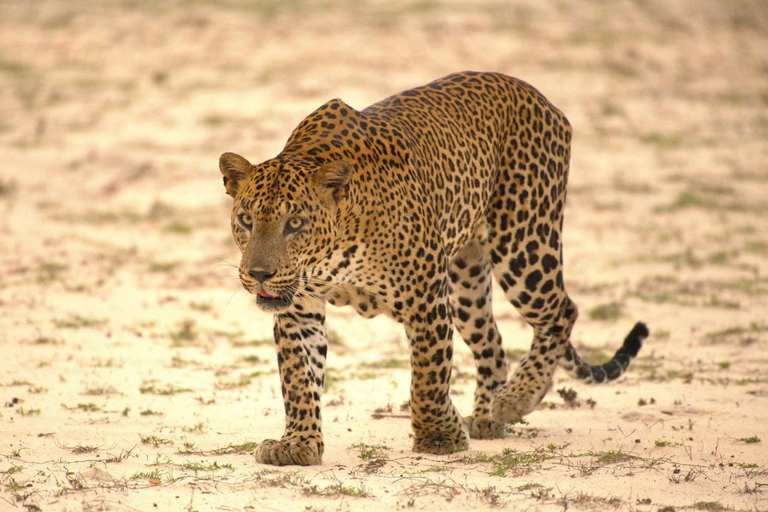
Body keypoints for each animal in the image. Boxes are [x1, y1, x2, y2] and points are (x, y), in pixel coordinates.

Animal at [218, 70, 648, 466]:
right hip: (466, 282)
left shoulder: (424, 297)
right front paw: (297, 443)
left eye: (295, 224)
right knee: (493, 341)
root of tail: (537, 95)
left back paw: (517, 397)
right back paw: (487, 417)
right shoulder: (299, 308)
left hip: (524, 244)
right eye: (246, 220)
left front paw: (439, 436)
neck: (336, 249)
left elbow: (428, 372)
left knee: (562, 312)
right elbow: (297, 377)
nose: (259, 274)